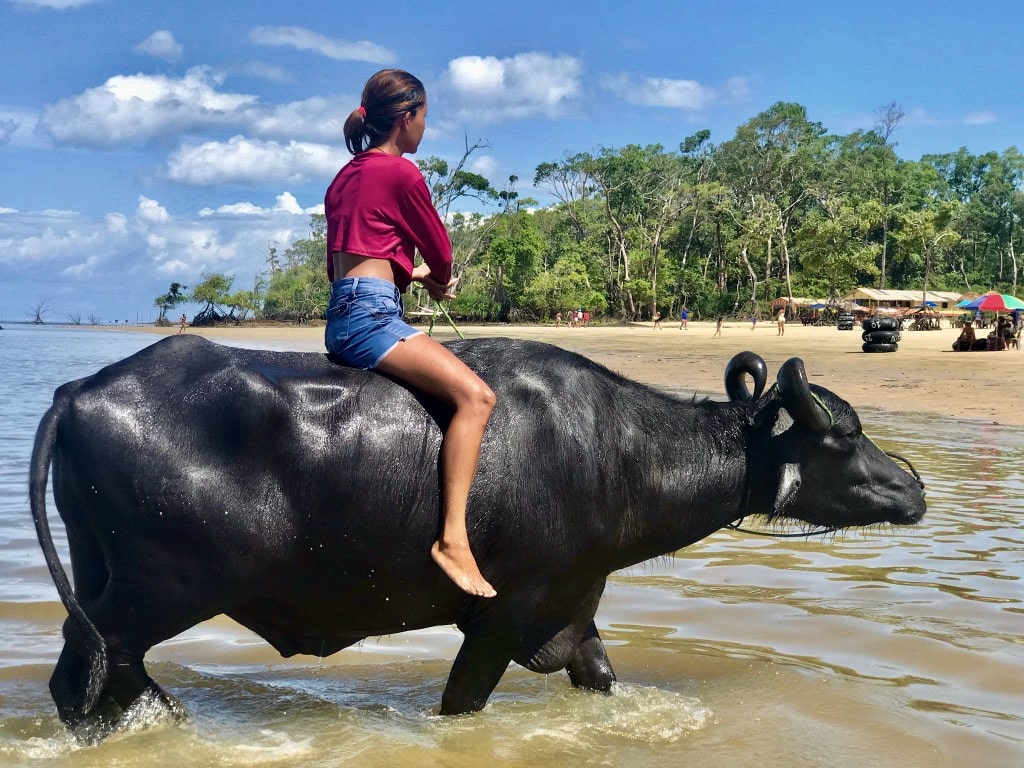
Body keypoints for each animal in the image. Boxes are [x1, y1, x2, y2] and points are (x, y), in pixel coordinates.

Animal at [34, 335, 929, 741]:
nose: (915, 488)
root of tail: (81, 390)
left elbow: (602, 678)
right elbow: (462, 704)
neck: (614, 450)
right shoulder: (498, 620)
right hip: (158, 592)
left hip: (103, 574)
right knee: (91, 674)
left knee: (102, 676)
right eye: (844, 437)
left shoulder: (571, 616)